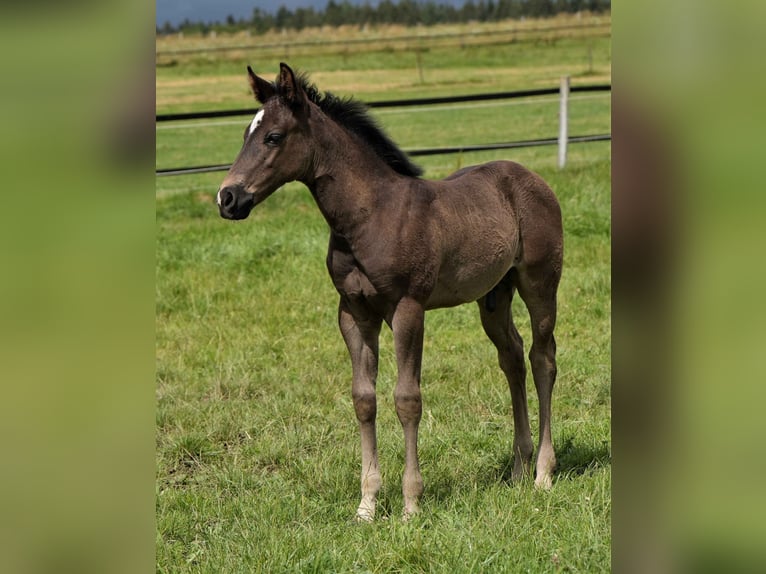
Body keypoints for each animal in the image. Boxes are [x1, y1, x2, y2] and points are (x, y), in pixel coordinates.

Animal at [216, 63, 564, 520]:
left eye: (273, 136)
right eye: (245, 133)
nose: (227, 197)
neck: (370, 216)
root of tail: (533, 178)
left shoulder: (407, 308)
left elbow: (406, 398)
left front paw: (411, 503)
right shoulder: (353, 312)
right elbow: (364, 398)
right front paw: (366, 504)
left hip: (540, 282)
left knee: (542, 358)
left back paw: (542, 473)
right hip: (493, 294)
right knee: (512, 357)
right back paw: (520, 468)